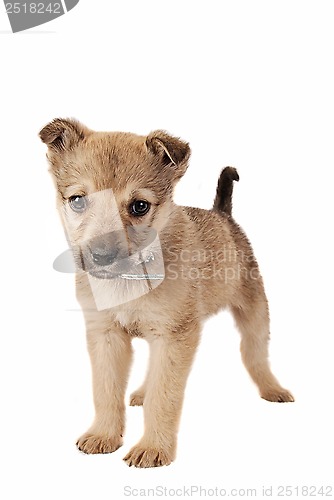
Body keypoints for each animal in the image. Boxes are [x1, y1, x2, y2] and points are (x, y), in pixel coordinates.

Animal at [40, 120, 294, 468]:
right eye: (78, 200)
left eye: (140, 206)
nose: (102, 257)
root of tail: (223, 215)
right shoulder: (107, 335)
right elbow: (105, 389)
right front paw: (104, 434)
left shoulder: (175, 336)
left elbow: (164, 396)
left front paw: (153, 448)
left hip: (254, 312)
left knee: (255, 354)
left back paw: (272, 388)